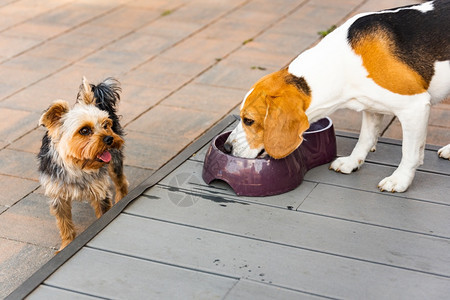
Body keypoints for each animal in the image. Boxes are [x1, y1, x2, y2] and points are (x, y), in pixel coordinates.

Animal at [227, 0, 448, 192]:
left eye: (248, 120)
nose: (228, 148)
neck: (341, 62)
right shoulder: (371, 107)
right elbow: (365, 138)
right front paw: (352, 162)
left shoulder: (415, 107)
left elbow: (409, 152)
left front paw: (400, 179)